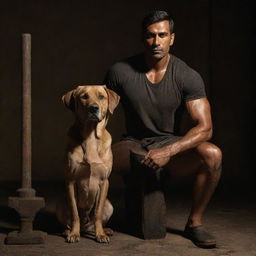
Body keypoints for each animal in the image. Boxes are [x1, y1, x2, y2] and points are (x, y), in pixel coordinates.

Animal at [56, 85, 120, 243]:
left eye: (101, 96)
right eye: (84, 96)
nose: (93, 108)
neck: (90, 135)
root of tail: (85, 229)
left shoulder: (104, 182)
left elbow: (98, 213)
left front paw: (100, 234)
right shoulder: (71, 182)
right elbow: (74, 214)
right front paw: (74, 233)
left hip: (110, 206)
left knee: (95, 221)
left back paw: (104, 230)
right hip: (60, 204)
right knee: (69, 222)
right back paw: (68, 231)